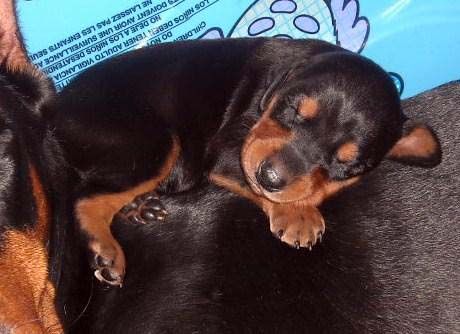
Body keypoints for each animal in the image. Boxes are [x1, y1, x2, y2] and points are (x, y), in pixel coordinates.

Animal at [49, 37, 442, 286]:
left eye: (346, 166)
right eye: (292, 110)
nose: (269, 177)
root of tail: (51, 110)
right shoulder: (229, 152)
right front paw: (298, 215)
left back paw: (140, 207)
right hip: (155, 143)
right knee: (84, 198)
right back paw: (105, 251)